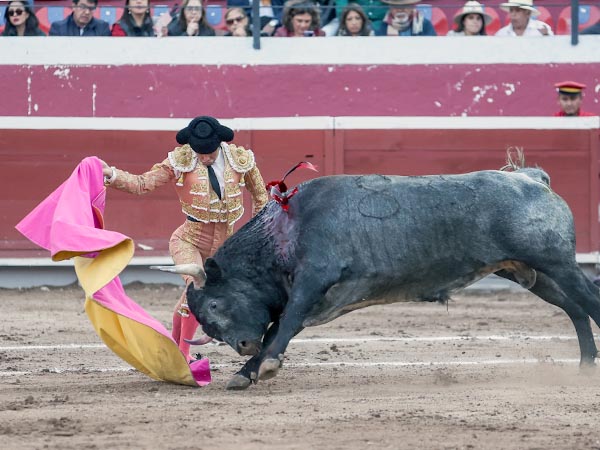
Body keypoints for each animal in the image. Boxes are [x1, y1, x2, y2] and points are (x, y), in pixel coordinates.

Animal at [184, 169, 600, 390]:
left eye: (217, 304)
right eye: (207, 324)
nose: (243, 346)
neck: (285, 230)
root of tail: (531, 178)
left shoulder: (312, 282)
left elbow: (282, 326)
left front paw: (264, 366)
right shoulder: (313, 296)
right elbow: (278, 329)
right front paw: (245, 373)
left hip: (556, 262)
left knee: (588, 300)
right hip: (532, 274)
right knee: (575, 308)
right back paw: (585, 363)